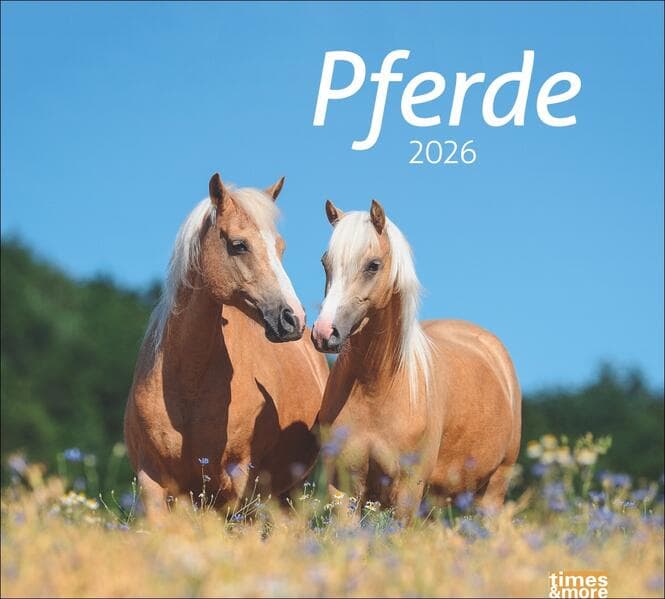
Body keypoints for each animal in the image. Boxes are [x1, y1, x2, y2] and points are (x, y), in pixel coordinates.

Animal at [124, 173, 328, 517]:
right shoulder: (154, 485)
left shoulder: (238, 487)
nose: (293, 319)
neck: (188, 385)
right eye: (238, 245)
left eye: (281, 248)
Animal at [311, 199, 521, 520]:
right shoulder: (343, 488)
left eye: (373, 265)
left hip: (493, 490)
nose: (324, 333)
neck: (375, 389)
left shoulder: (407, 491)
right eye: (326, 263)